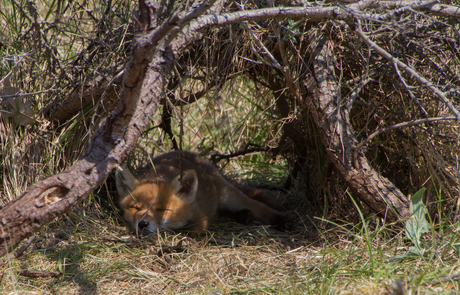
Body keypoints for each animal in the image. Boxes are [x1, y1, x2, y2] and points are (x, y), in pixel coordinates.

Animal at [117, 150, 292, 236]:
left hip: (230, 195)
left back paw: (280, 219)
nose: (143, 224)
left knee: (257, 205)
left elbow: (187, 229)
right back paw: (242, 215)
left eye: (162, 209)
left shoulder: (201, 222)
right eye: (136, 208)